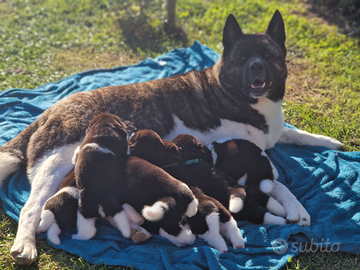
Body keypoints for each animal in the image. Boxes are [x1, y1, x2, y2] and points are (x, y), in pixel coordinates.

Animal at [0, 10, 342, 264]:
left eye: (269, 56)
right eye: (243, 58)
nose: (257, 66)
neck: (230, 90)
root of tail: (48, 111)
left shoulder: (272, 135)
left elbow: (295, 134)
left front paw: (326, 141)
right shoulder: (245, 158)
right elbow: (278, 181)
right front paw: (296, 208)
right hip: (56, 163)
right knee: (31, 206)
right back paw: (26, 245)